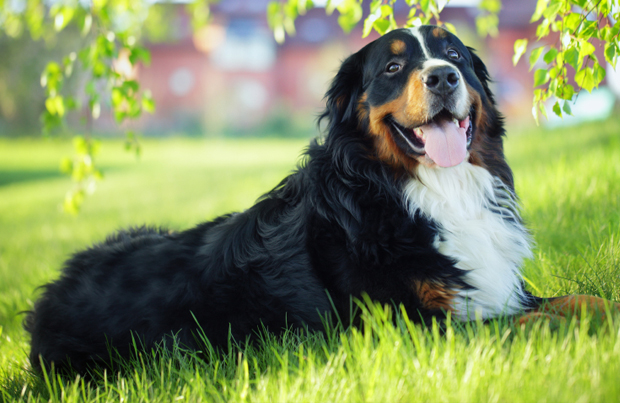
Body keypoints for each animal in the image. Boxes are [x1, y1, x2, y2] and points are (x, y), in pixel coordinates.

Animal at [25, 26, 620, 376]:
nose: (444, 76)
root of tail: (47, 297)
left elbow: (582, 301)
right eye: (393, 68)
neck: (425, 192)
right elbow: (528, 324)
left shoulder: (497, 287)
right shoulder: (409, 326)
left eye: (453, 55)